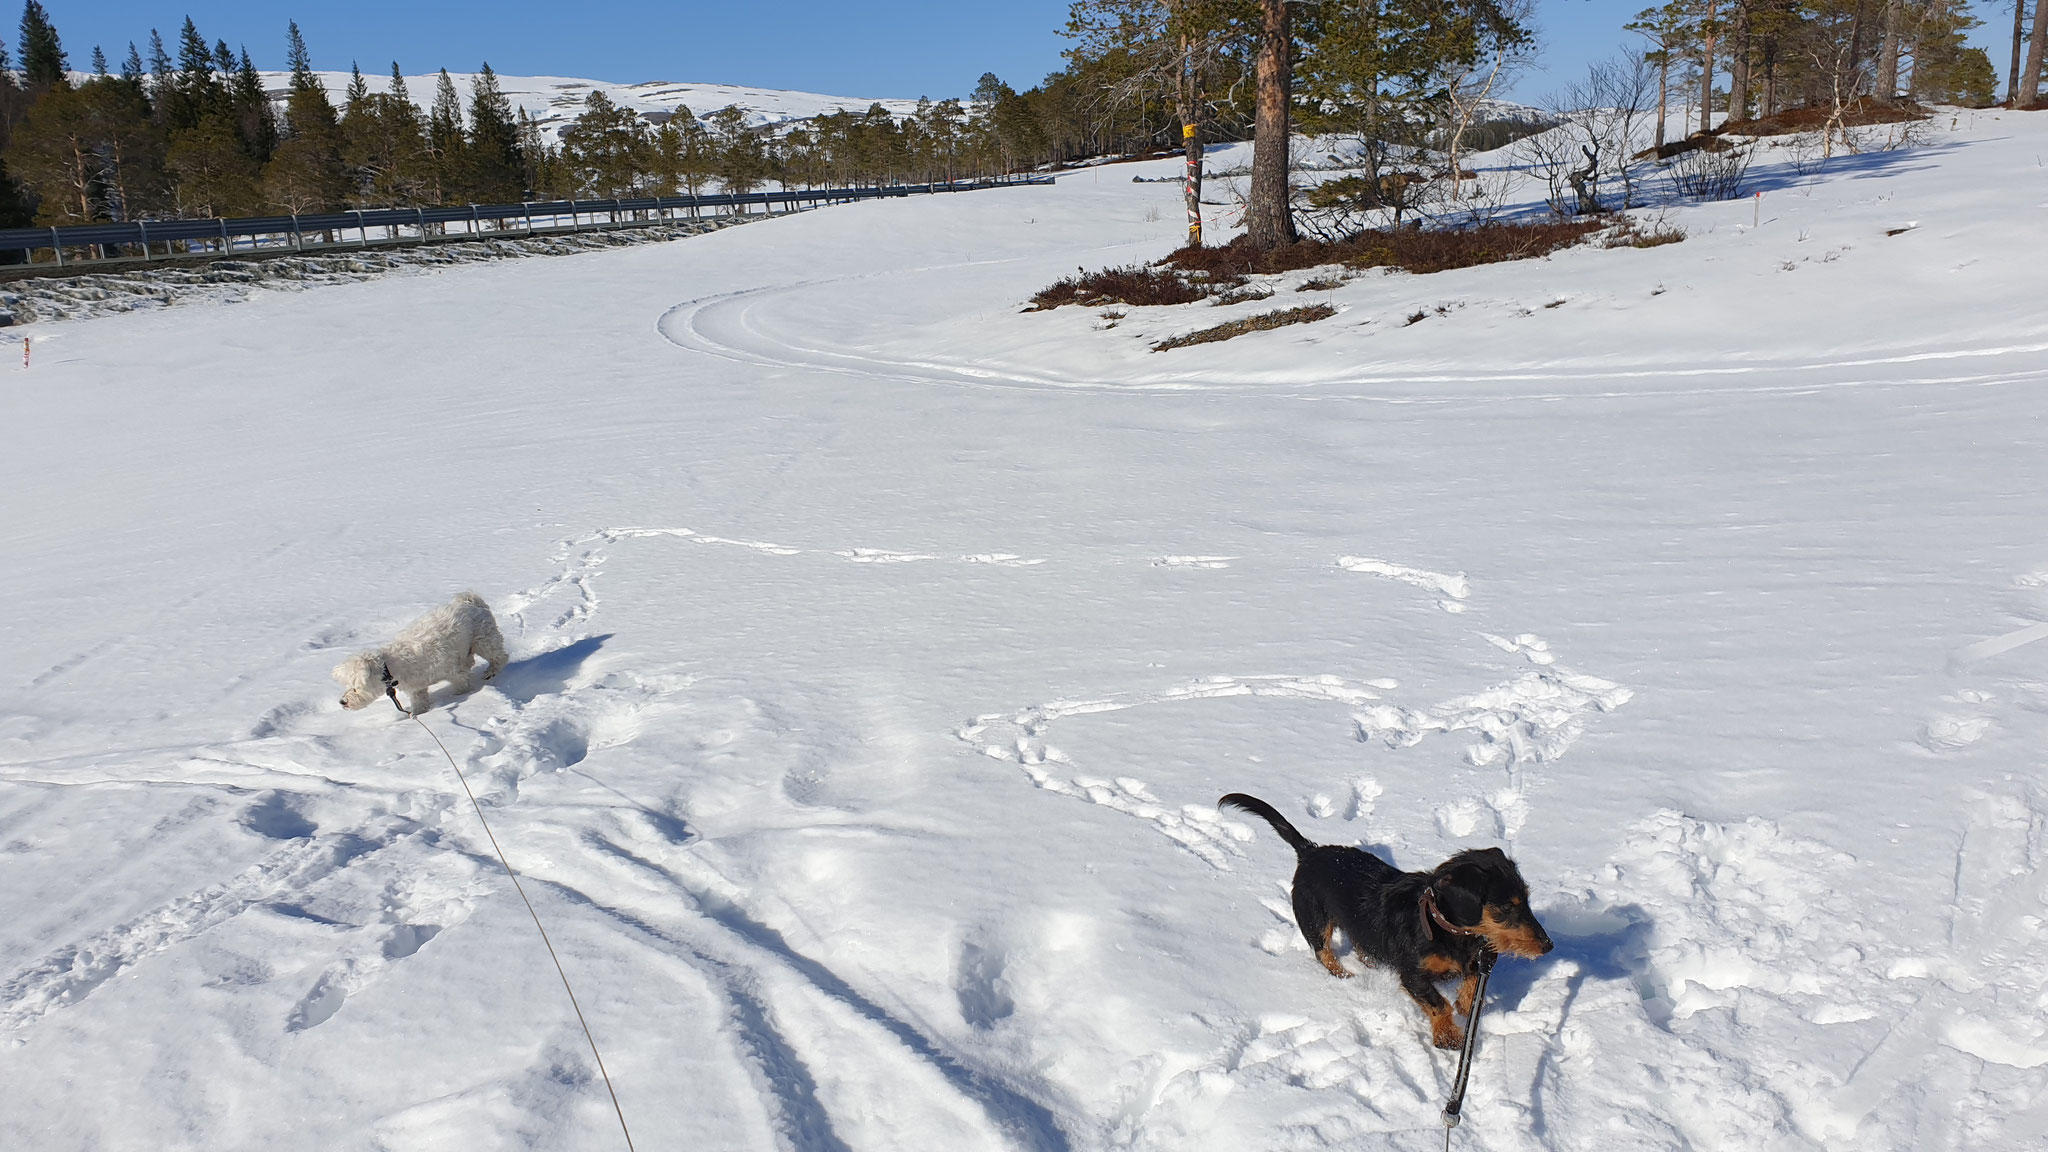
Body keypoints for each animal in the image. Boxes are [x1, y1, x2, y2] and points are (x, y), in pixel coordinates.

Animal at [333, 586, 509, 713]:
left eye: (355, 688)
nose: (342, 702)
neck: (391, 667)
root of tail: (469, 601)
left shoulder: (453, 670)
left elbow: (462, 684)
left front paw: (460, 696)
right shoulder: (416, 688)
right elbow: (420, 702)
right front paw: (416, 715)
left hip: (483, 639)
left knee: (499, 656)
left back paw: (491, 671)